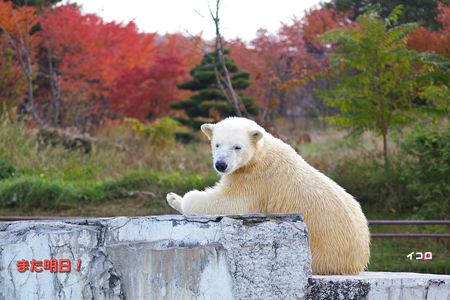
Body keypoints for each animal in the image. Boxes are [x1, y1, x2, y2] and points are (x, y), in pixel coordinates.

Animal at [167, 116, 370, 274]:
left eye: (237, 147)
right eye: (217, 144)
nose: (221, 165)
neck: (261, 153)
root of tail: (361, 258)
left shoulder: (256, 180)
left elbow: (230, 202)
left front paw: (176, 198)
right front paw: (174, 197)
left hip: (325, 252)